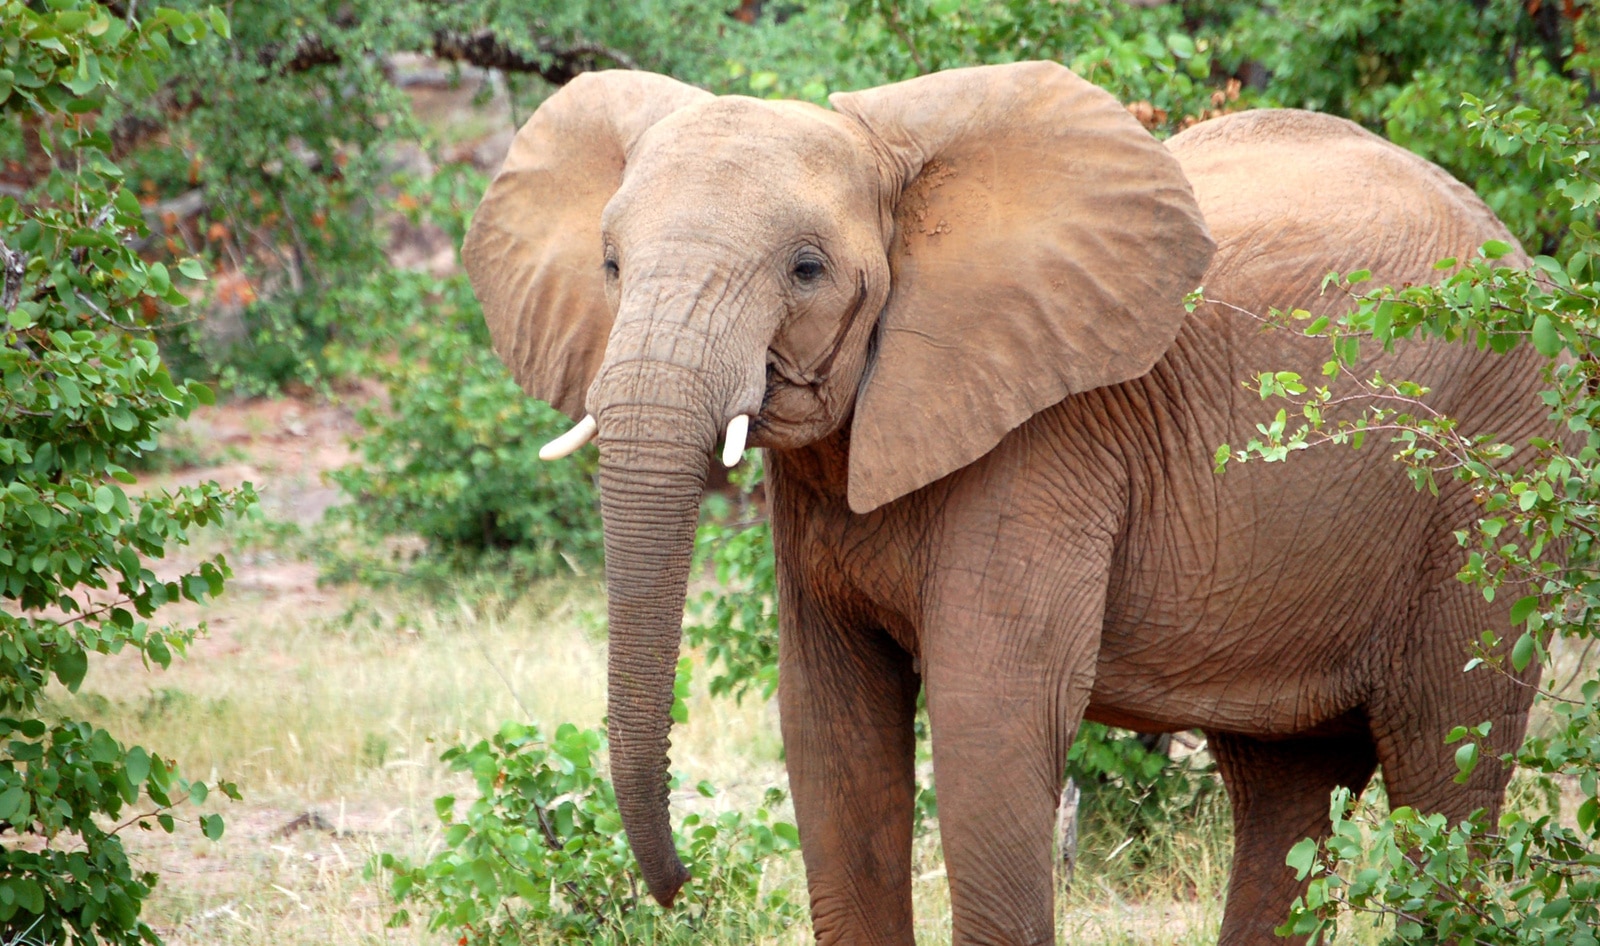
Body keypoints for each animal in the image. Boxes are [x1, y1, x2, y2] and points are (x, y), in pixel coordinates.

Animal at [460, 61, 1544, 945]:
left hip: (1491, 486)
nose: (678, 883)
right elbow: (831, 727)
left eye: (807, 269)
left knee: (1444, 758)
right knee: (1285, 791)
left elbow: (992, 719)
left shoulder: (1048, 446)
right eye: (609, 265)